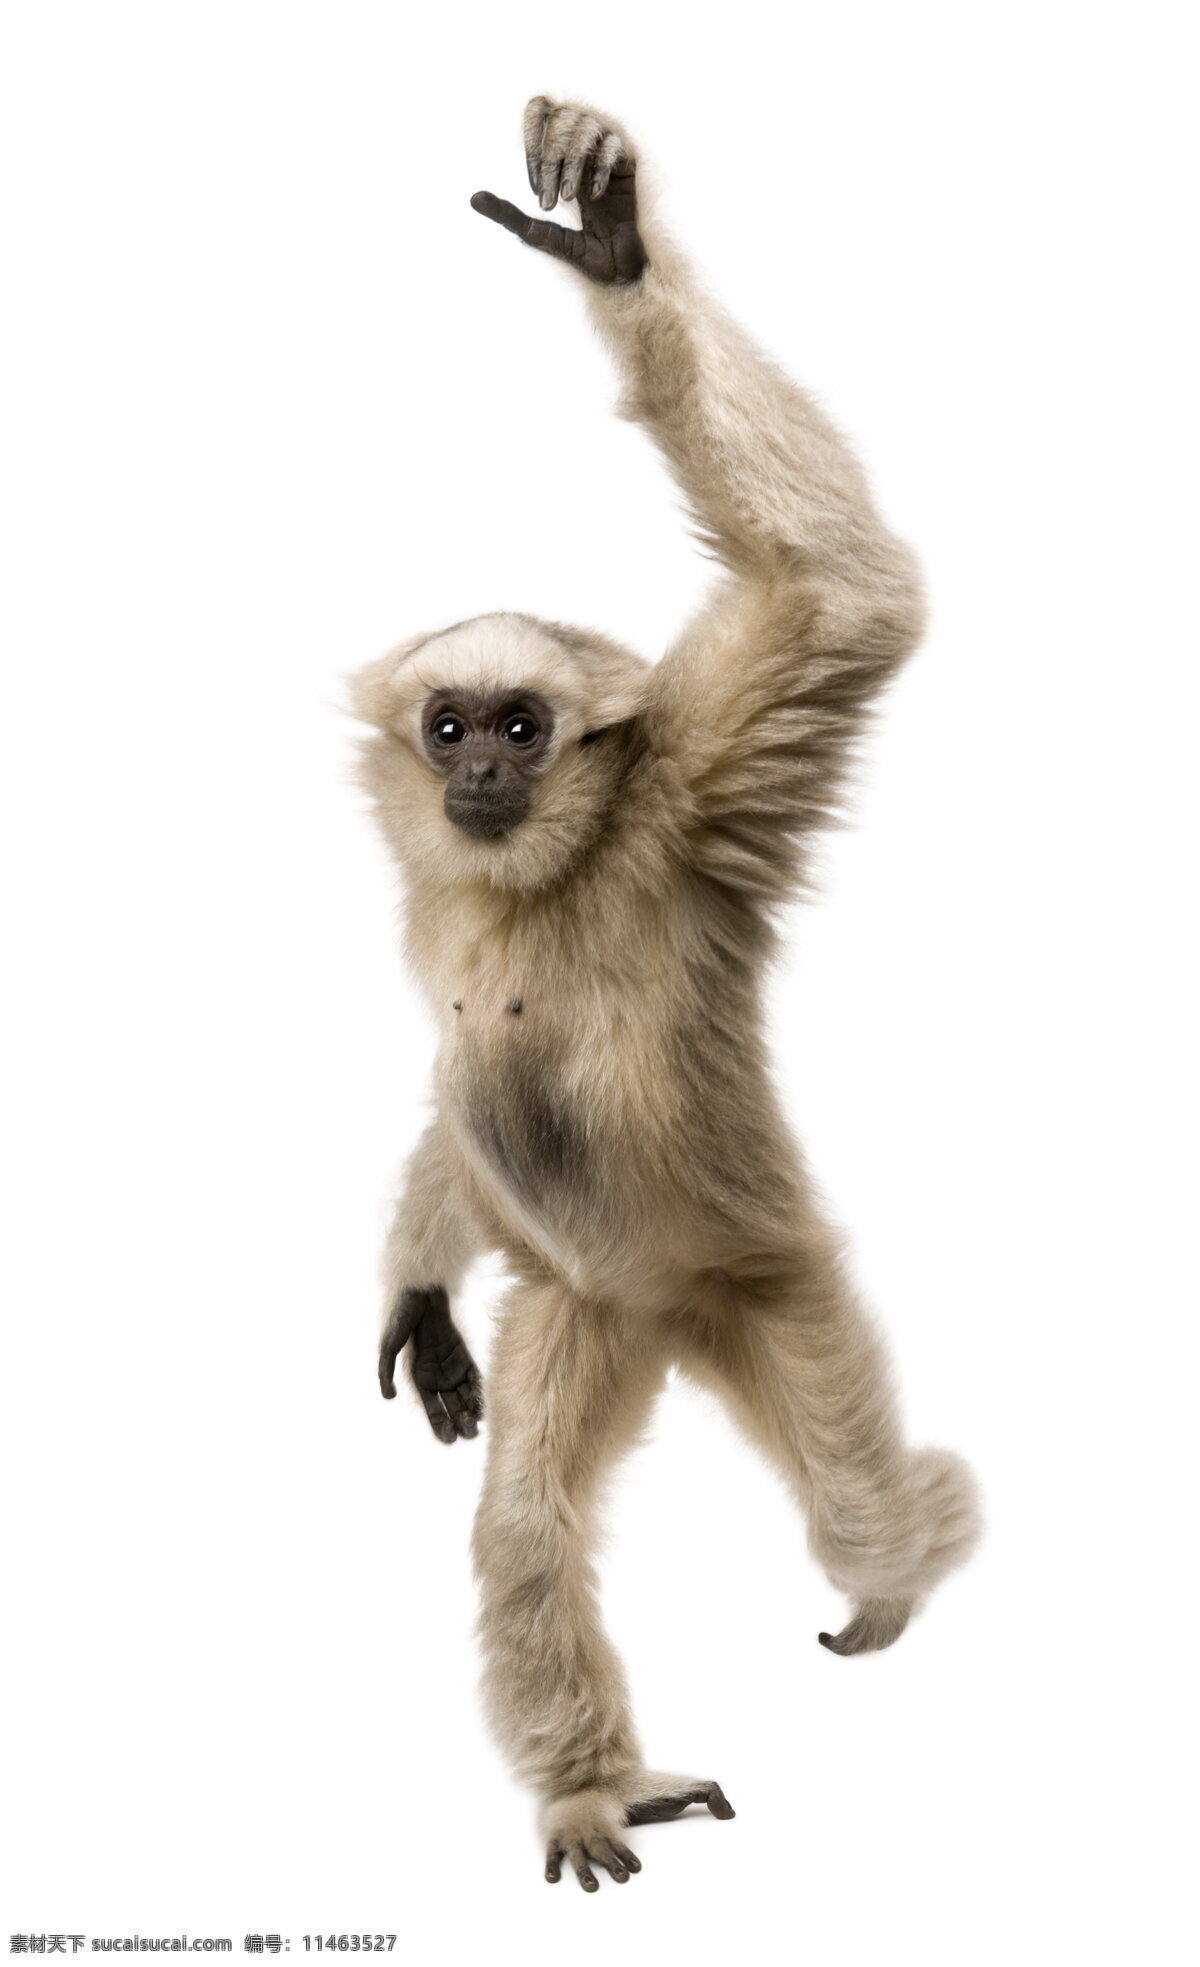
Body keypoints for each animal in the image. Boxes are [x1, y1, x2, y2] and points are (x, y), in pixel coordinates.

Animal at [351, 97, 980, 1892]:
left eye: (525, 725)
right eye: (449, 725)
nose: (484, 771)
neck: (534, 885)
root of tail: (678, 1305)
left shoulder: (690, 801)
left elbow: (843, 594)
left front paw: (614, 248)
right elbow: (448, 1094)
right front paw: (415, 1288)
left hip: (770, 1278)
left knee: (855, 1496)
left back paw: (914, 1550)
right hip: (592, 1303)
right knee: (528, 1524)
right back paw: (599, 1785)